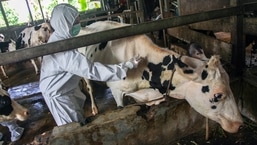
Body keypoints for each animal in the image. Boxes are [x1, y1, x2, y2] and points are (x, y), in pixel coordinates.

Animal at [77, 20, 242, 134]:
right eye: (218, 95)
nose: (240, 123)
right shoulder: (116, 90)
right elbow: (120, 106)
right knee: (89, 87)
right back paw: (94, 108)